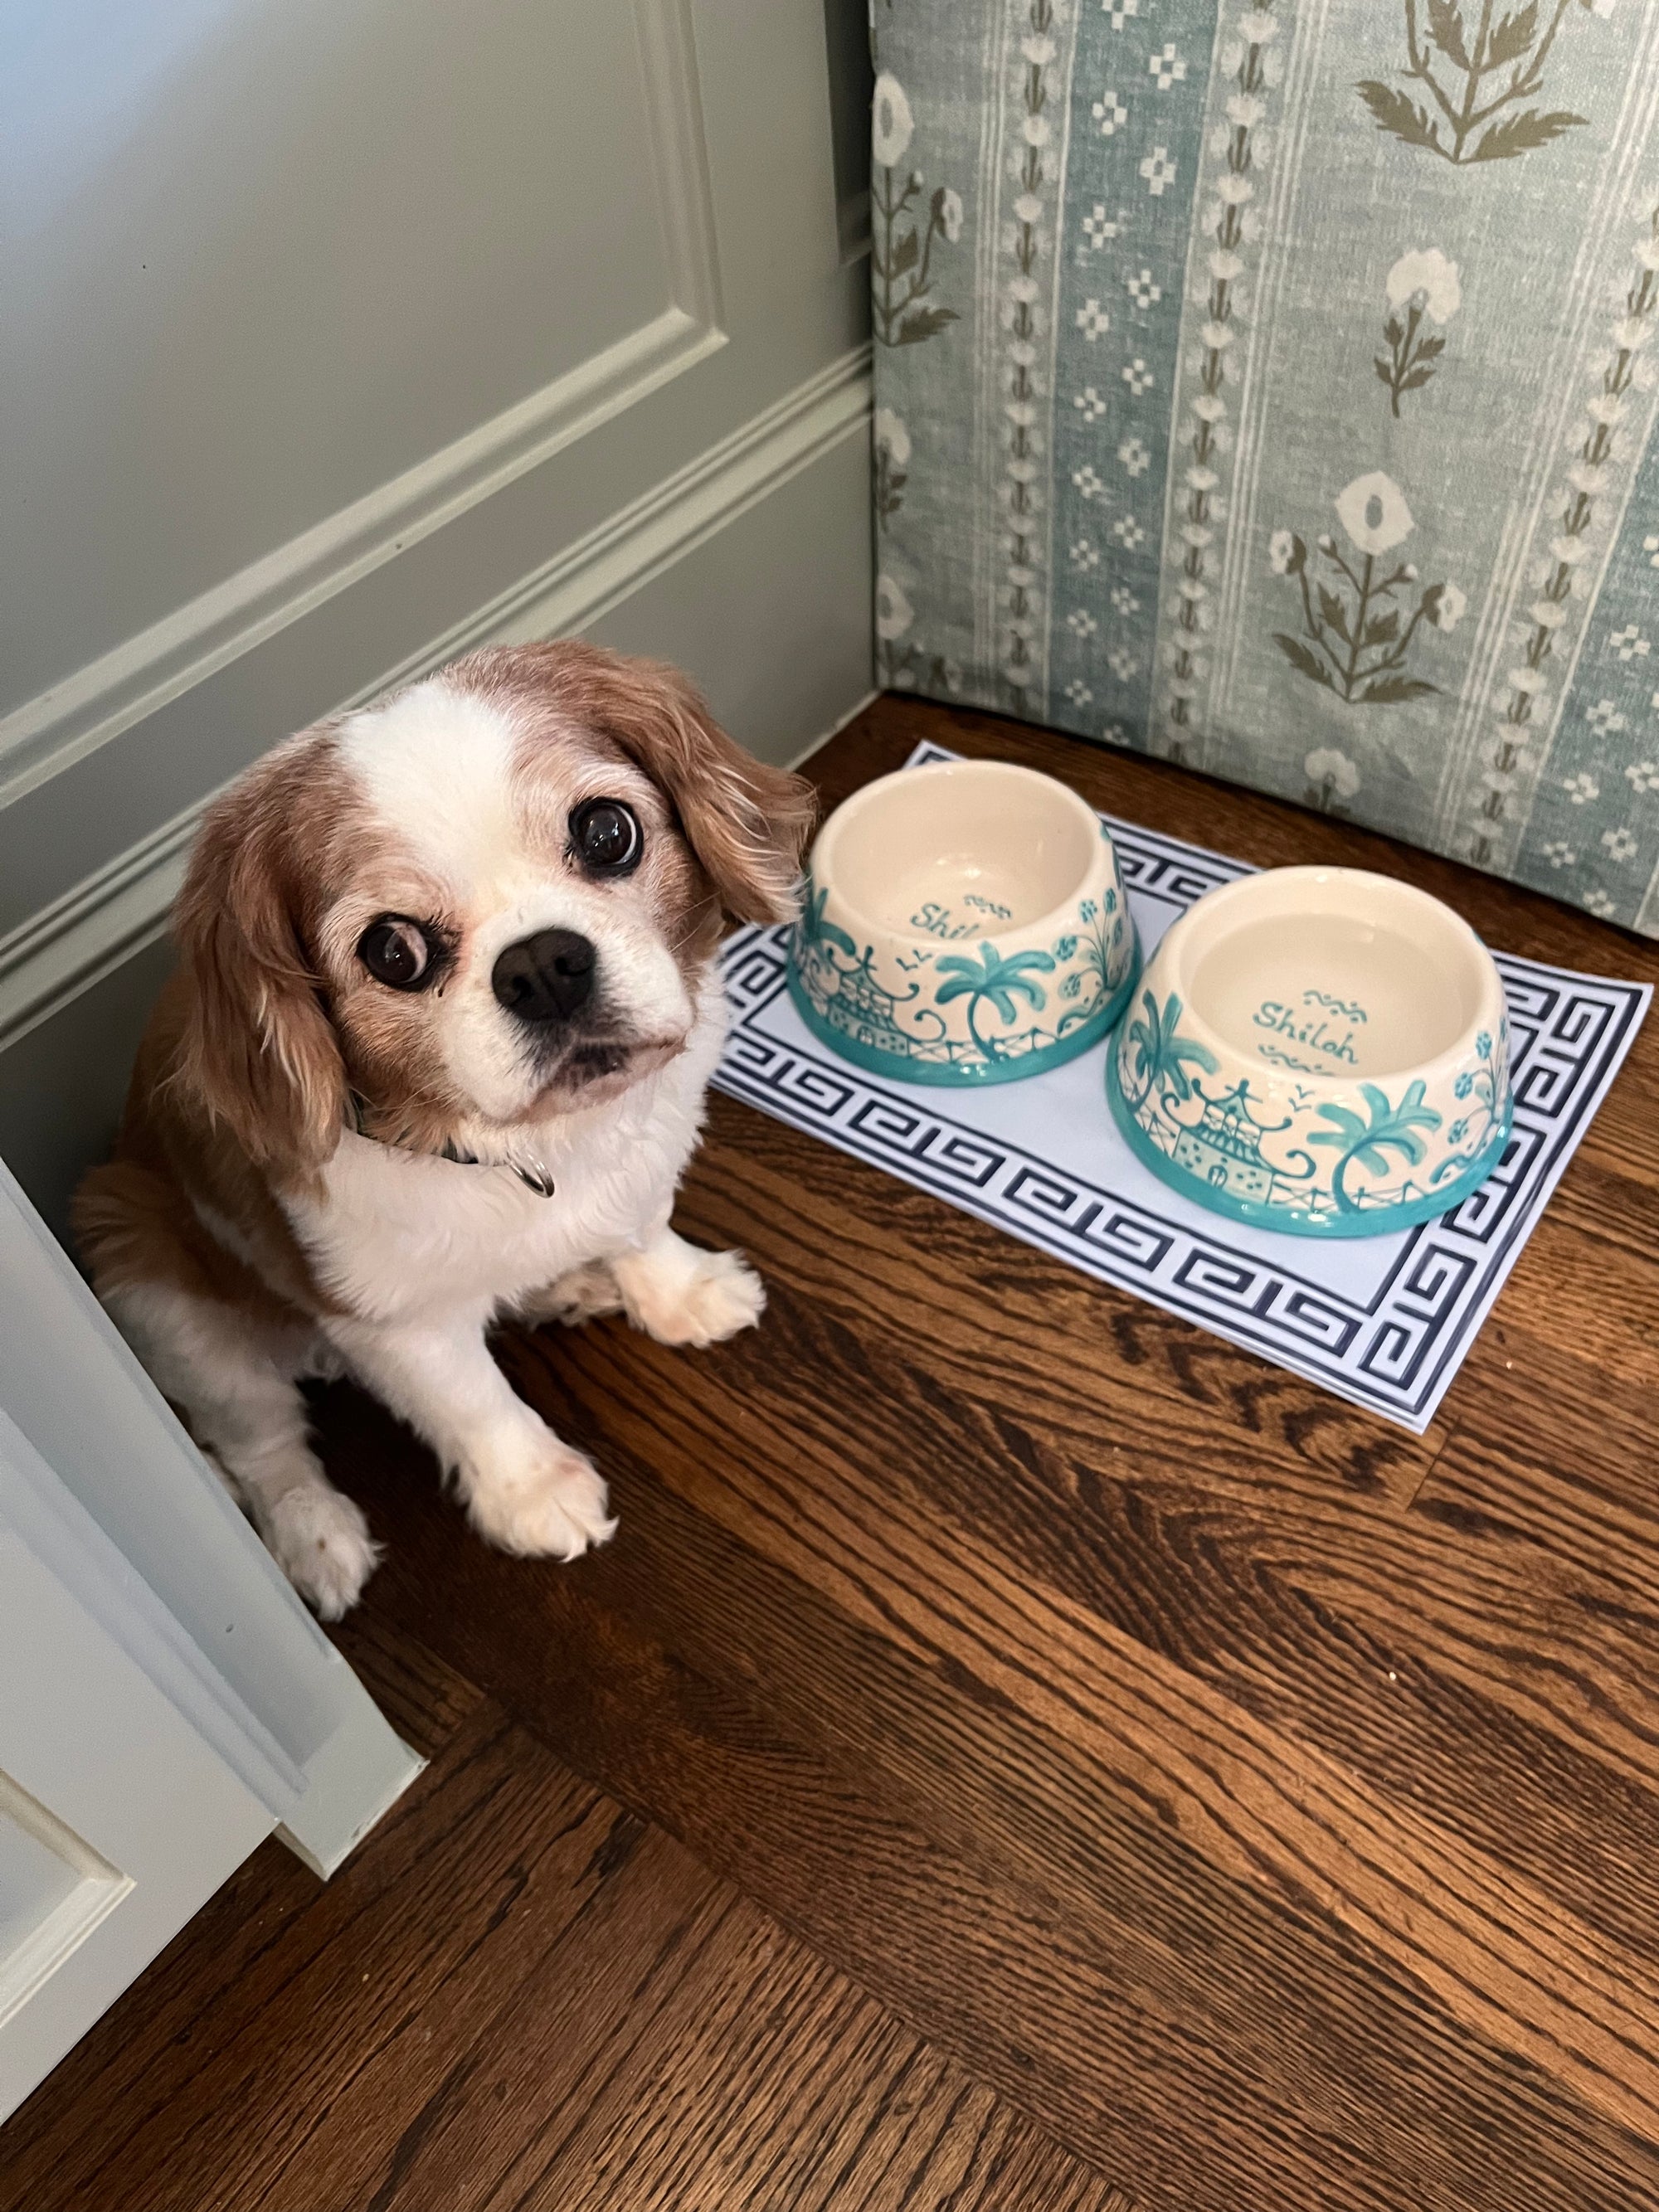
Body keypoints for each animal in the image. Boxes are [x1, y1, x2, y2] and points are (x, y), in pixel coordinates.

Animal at [78, 641, 818, 1610]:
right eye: (394, 951)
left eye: (607, 833)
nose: (541, 964)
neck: (522, 1149)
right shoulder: (389, 1321)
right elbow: (471, 1400)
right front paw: (534, 1492)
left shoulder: (641, 1160)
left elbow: (641, 1225)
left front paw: (677, 1290)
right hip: (151, 1279)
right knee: (261, 1445)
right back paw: (314, 1536)